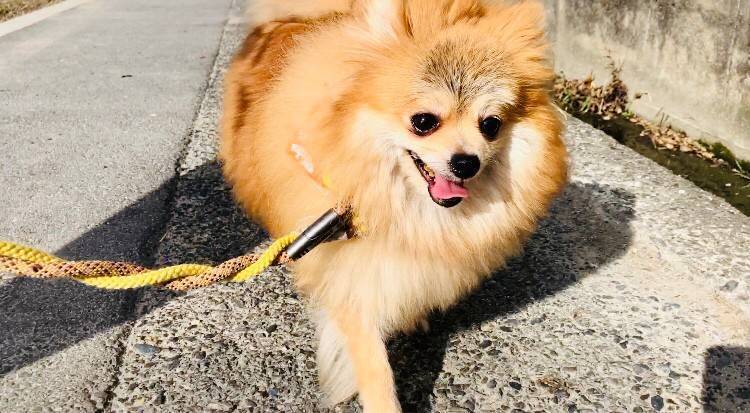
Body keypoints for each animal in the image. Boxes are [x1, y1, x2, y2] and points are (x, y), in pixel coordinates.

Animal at [220, 0, 568, 411]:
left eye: (491, 125)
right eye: (423, 121)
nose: (467, 162)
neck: (405, 206)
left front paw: (413, 318)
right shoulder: (353, 278)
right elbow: (374, 366)